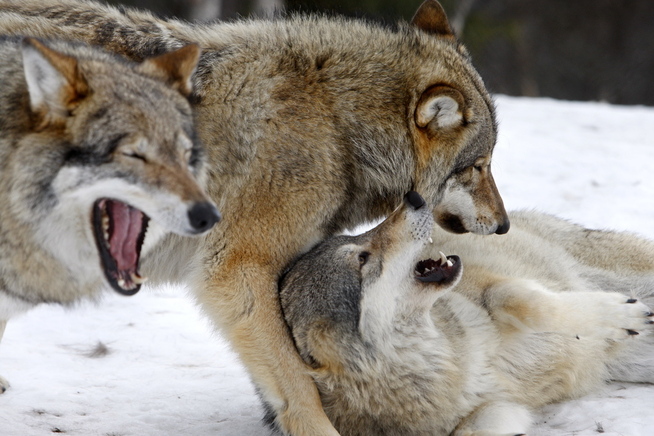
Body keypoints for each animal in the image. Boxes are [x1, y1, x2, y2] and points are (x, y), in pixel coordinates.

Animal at [282, 192, 654, 434]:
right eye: (362, 258)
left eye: (361, 235)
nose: (414, 198)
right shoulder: (495, 406)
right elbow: (469, 429)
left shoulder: (491, 289)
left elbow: (522, 302)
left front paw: (616, 316)